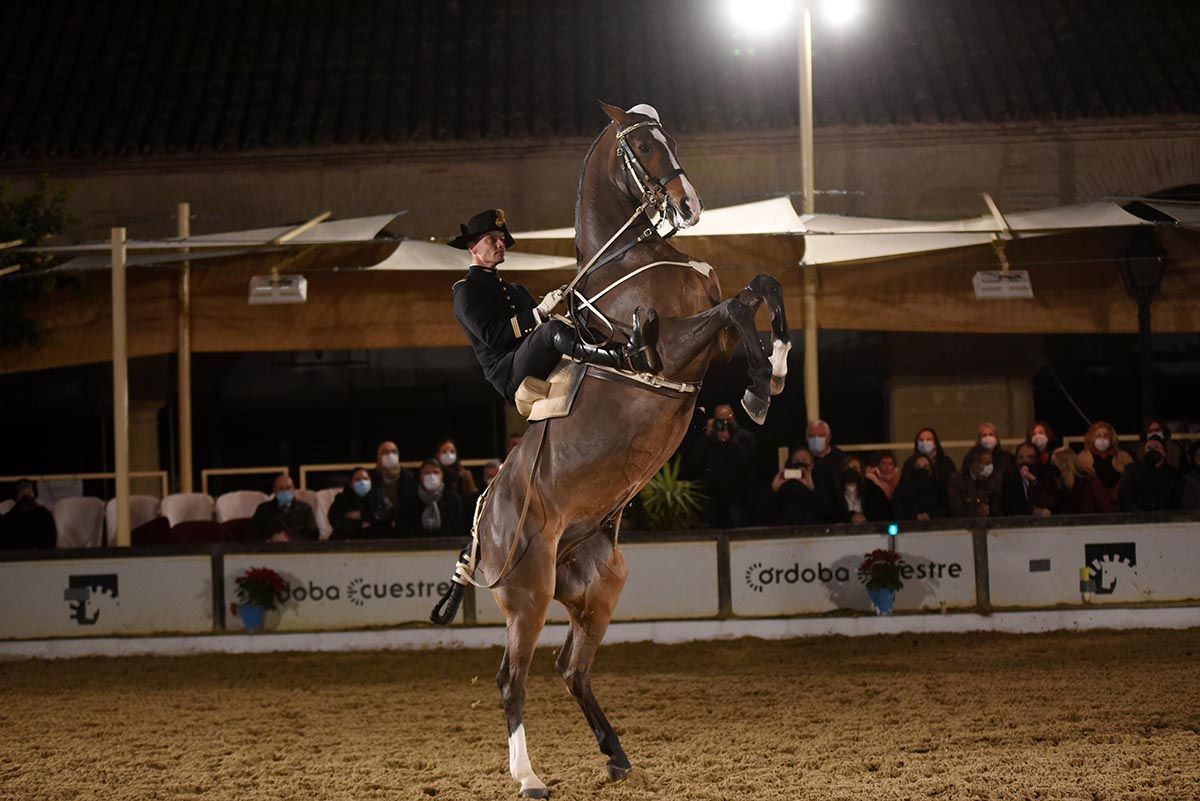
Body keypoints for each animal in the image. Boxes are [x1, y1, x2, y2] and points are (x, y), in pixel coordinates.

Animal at [441, 101, 787, 796]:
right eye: (644, 147)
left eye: (670, 136)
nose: (689, 205)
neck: (629, 258)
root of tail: (483, 525)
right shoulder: (679, 344)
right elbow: (738, 309)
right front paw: (761, 390)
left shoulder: (710, 344)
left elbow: (759, 291)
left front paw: (777, 364)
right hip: (529, 595)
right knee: (512, 678)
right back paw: (529, 776)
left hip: (599, 586)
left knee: (571, 668)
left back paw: (616, 753)